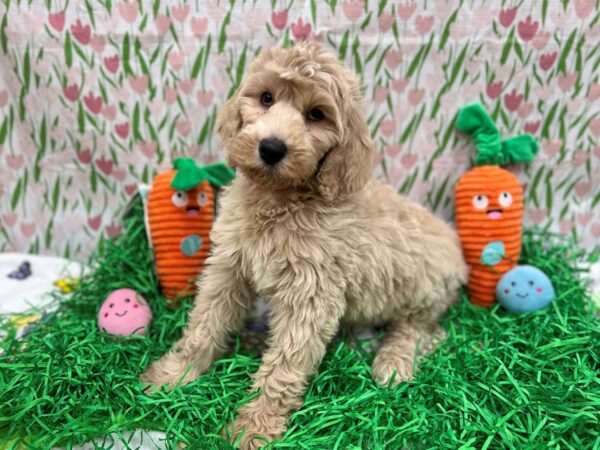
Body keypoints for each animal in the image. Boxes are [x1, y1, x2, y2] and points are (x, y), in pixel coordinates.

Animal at [142, 41, 468, 446]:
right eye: (266, 98)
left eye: (316, 114)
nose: (271, 148)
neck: (281, 199)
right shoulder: (229, 266)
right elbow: (205, 323)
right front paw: (173, 375)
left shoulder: (310, 294)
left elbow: (283, 365)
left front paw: (255, 427)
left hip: (424, 292)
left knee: (423, 331)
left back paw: (392, 363)